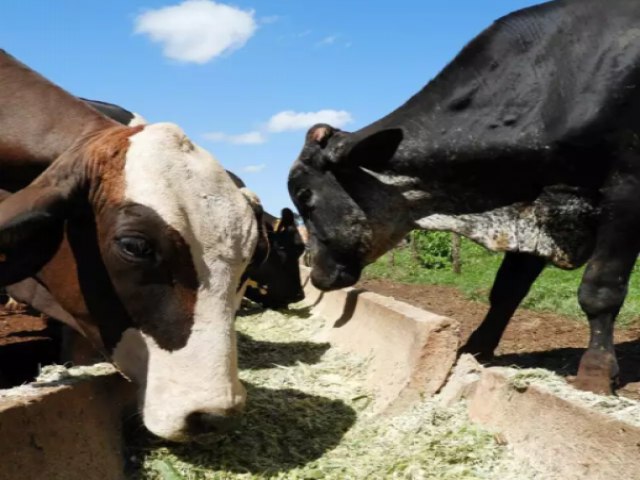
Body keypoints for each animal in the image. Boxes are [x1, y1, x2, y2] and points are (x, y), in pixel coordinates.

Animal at [288, 0, 640, 396]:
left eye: (305, 195)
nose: (313, 268)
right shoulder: (536, 202)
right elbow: (506, 289)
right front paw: (476, 349)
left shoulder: (627, 188)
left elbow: (600, 289)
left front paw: (595, 373)